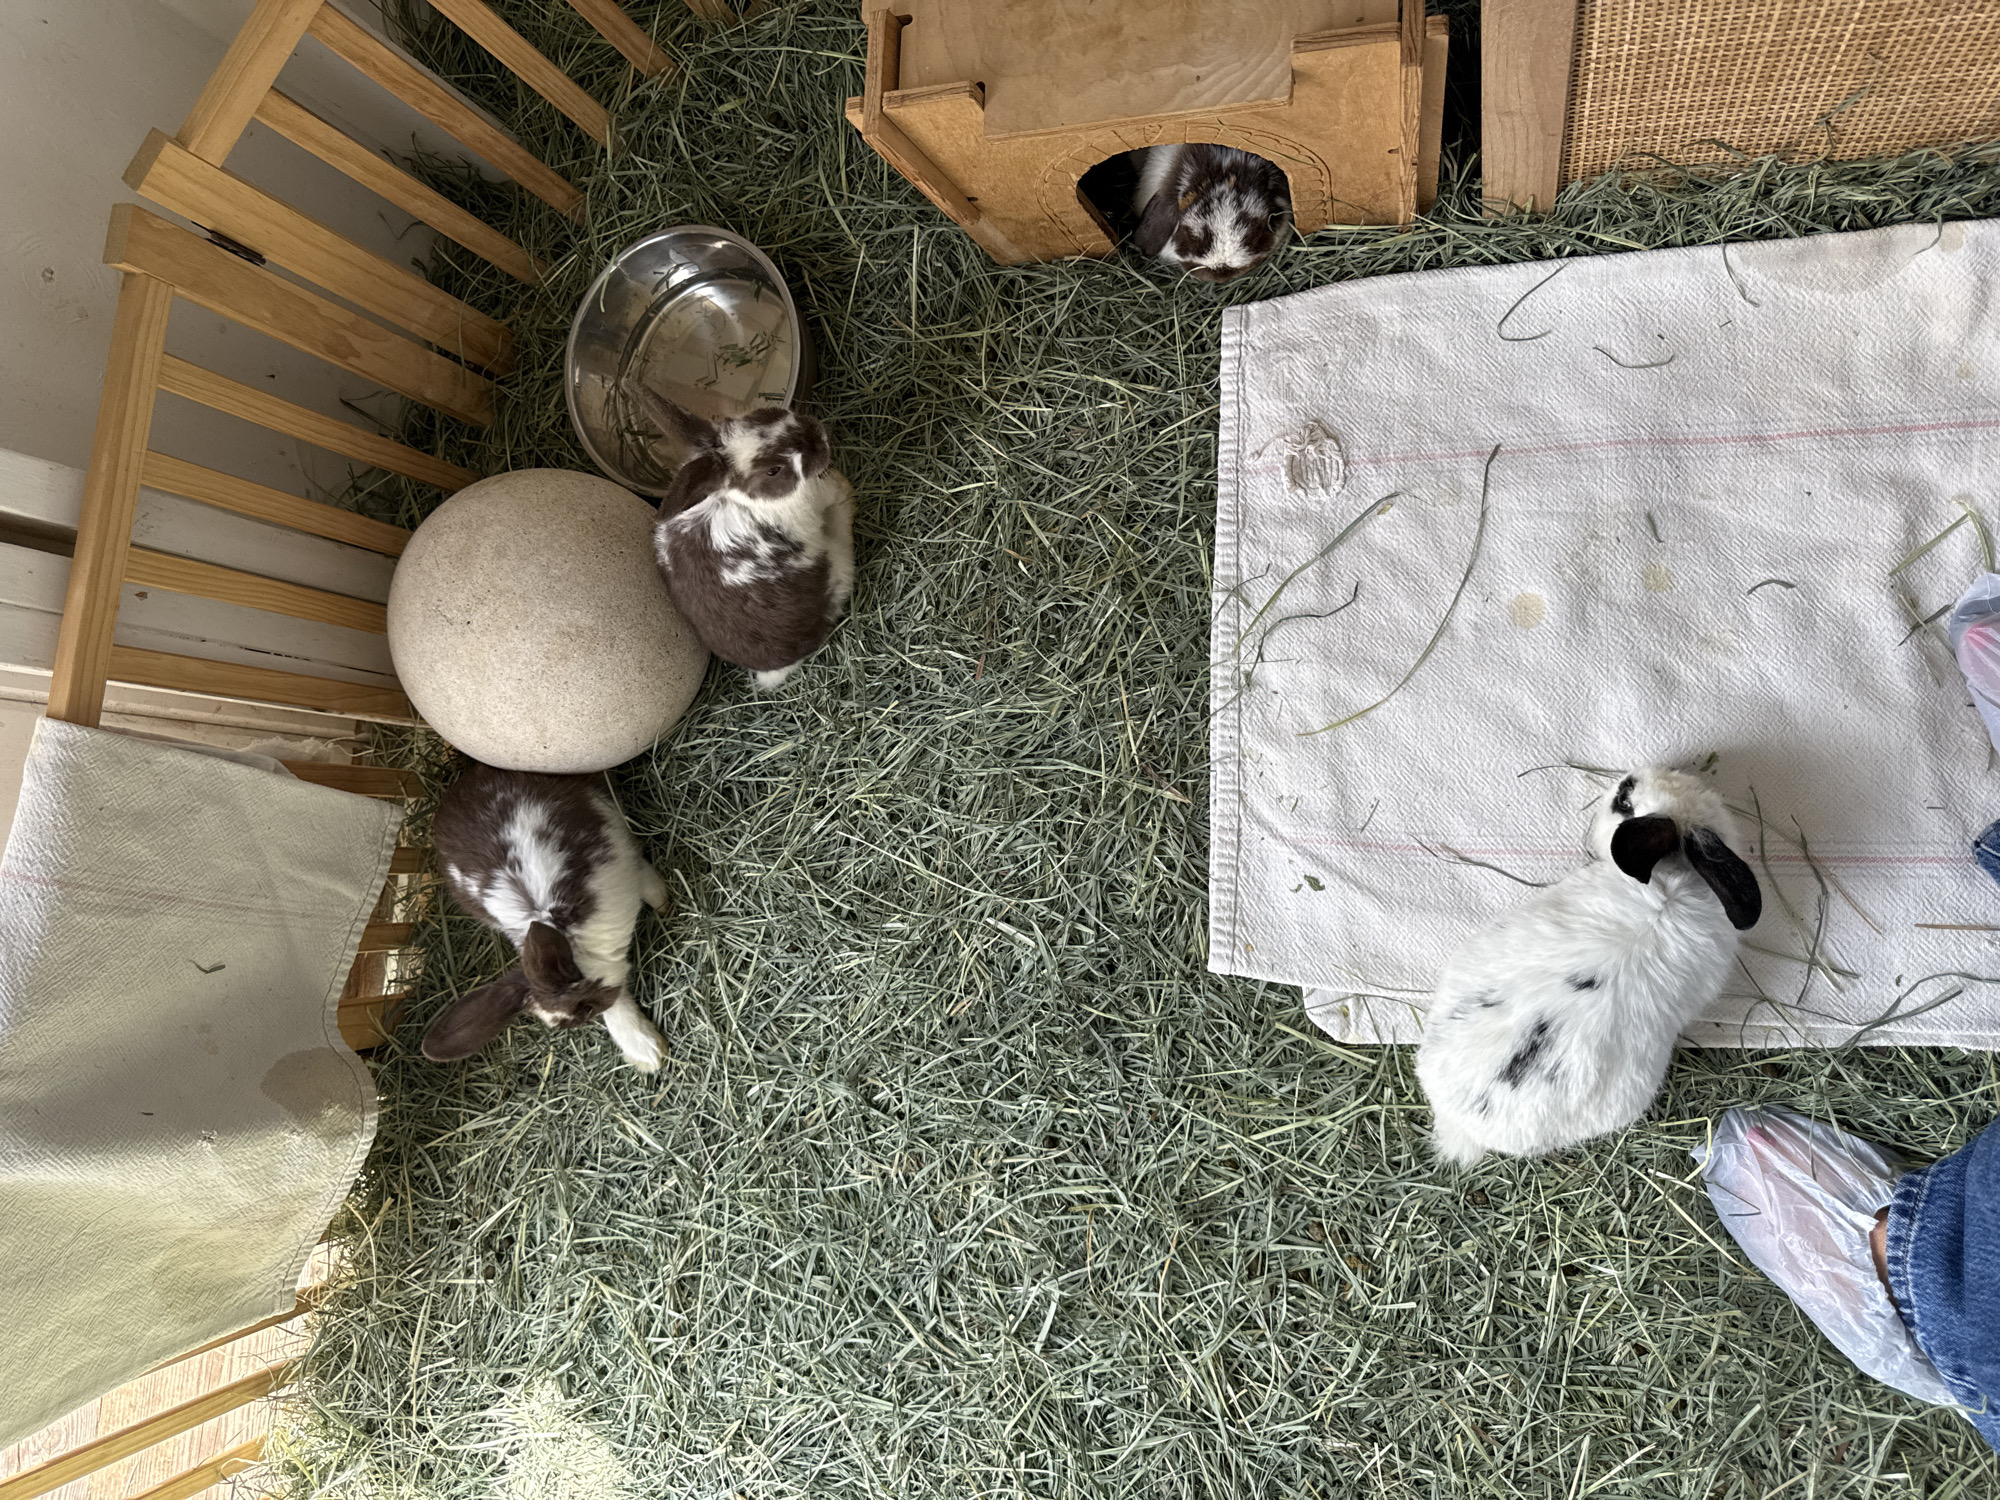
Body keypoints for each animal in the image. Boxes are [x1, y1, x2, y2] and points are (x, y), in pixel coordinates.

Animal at [421, 760, 669, 1073]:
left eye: (585, 1007)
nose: (593, 1012)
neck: (564, 931)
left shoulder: (619, 848)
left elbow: (643, 873)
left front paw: (662, 900)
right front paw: (645, 1051)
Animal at [640, 390, 855, 691]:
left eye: (768, 414)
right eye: (774, 470)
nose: (820, 439)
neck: (743, 497)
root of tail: (774, 668)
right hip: (837, 563)